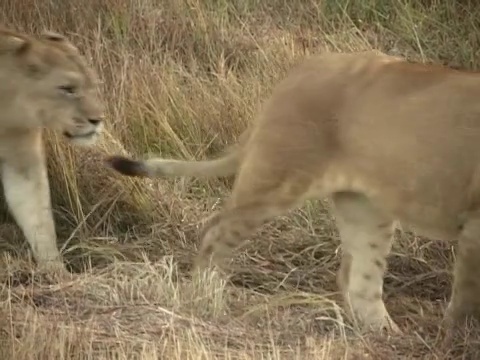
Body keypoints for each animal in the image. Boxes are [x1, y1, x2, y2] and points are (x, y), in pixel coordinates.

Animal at [0, 27, 104, 276]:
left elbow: (37, 213)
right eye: (67, 89)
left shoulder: (22, 153)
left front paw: (56, 272)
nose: (98, 120)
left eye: (92, 86)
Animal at [107, 50, 480, 334]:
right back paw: (204, 300)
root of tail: (297, 71)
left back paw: (383, 334)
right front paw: (453, 338)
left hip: (365, 206)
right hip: (276, 179)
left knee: (357, 278)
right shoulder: (476, 225)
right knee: (214, 232)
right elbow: (467, 297)